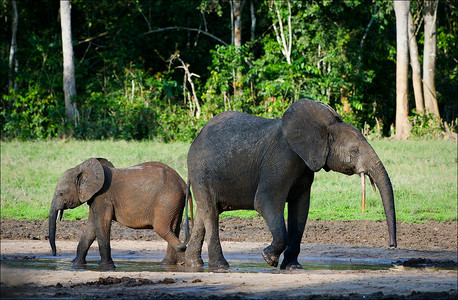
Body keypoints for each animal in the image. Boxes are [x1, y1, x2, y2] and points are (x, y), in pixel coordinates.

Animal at [50, 158, 191, 268]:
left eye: (61, 193)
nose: (54, 254)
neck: (83, 168)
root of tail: (183, 183)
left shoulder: (103, 197)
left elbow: (102, 224)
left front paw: (106, 267)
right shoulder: (94, 197)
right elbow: (91, 228)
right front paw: (76, 264)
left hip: (168, 201)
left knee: (163, 229)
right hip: (174, 203)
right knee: (173, 229)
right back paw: (168, 264)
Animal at [184, 98, 396, 270]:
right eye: (354, 150)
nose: (392, 246)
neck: (324, 126)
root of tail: (196, 139)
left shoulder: (304, 168)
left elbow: (301, 209)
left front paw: (293, 267)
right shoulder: (280, 161)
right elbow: (265, 202)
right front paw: (268, 259)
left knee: (204, 213)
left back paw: (194, 264)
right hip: (200, 171)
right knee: (211, 213)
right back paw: (220, 266)